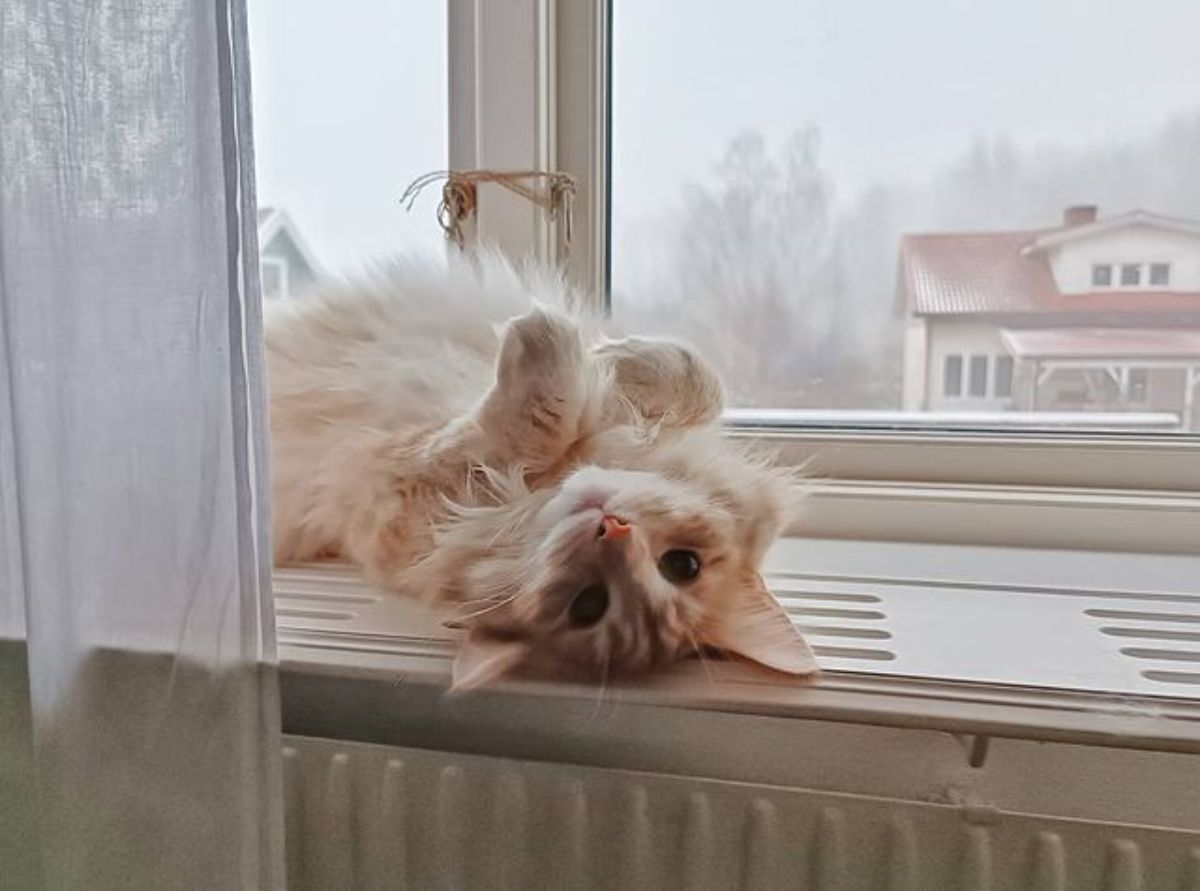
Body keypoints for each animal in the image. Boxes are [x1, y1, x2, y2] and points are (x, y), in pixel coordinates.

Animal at [266, 250, 820, 691]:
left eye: (589, 605)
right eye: (683, 564)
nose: (613, 528)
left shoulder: (397, 482)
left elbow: (522, 424)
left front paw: (547, 340)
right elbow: (696, 375)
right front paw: (610, 356)